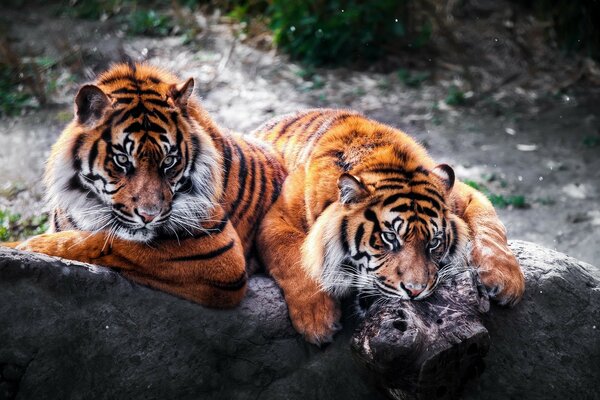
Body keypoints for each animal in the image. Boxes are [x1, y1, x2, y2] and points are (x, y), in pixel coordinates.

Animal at [2, 61, 284, 306]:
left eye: (169, 161)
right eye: (123, 160)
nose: (149, 216)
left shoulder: (218, 250)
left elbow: (105, 241)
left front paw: (30, 245)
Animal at [253, 108, 524, 344]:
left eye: (434, 243)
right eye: (389, 238)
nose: (415, 291)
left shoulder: (465, 195)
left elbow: (489, 224)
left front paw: (506, 280)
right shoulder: (275, 218)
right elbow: (295, 258)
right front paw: (317, 320)